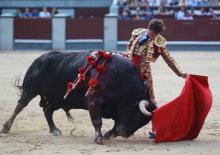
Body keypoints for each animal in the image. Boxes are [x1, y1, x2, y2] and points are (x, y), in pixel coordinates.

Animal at [0, 51, 156, 145]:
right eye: (137, 115)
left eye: (143, 122)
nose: (125, 134)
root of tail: (39, 59)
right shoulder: (94, 102)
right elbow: (97, 121)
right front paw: (99, 138)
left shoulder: (118, 112)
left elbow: (115, 125)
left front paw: (107, 135)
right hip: (30, 89)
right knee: (20, 105)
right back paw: (6, 128)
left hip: (59, 99)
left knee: (47, 110)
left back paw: (55, 130)